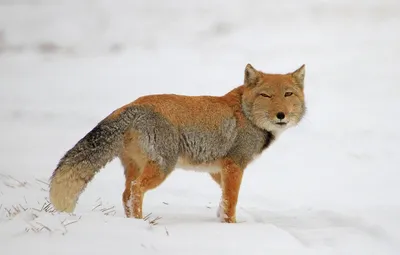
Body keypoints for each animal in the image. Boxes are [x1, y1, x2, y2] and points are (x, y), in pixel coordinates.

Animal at [49, 63, 306, 223]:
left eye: (288, 94)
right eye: (266, 95)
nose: (281, 115)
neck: (246, 114)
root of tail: (130, 106)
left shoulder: (217, 170)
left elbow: (224, 200)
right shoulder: (234, 166)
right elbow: (231, 201)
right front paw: (231, 226)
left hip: (136, 168)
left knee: (125, 195)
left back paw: (132, 224)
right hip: (162, 168)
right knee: (135, 191)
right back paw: (141, 223)